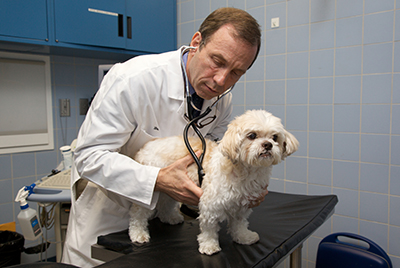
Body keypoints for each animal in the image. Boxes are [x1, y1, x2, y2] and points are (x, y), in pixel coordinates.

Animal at [127, 110, 296, 254]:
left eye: (275, 137)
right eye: (252, 135)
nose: (267, 144)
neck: (245, 171)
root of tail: (145, 147)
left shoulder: (242, 205)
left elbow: (240, 223)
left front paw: (243, 237)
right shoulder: (211, 205)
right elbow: (209, 228)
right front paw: (209, 246)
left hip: (170, 186)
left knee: (165, 203)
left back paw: (170, 217)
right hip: (155, 186)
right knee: (138, 212)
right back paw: (138, 233)